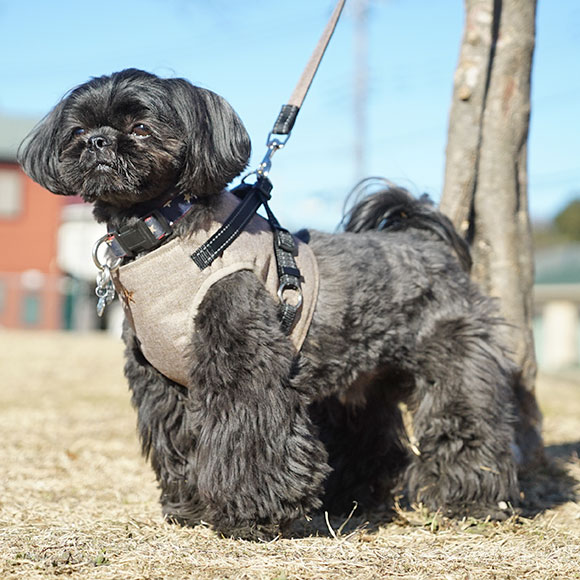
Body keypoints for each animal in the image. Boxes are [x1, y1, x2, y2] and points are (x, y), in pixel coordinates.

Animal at [18, 68, 520, 540]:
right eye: (79, 129)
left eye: (140, 127)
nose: (98, 141)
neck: (163, 233)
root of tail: (422, 240)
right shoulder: (161, 382)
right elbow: (179, 440)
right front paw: (190, 509)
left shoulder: (242, 361)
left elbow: (247, 430)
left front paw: (253, 515)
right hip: (355, 387)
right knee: (370, 444)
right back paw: (352, 501)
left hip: (453, 361)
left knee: (466, 422)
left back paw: (470, 498)